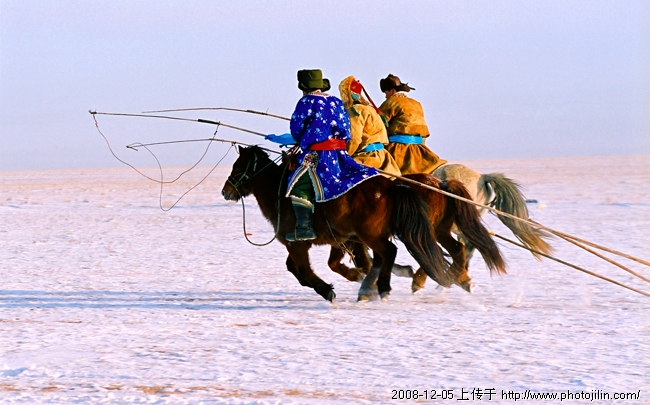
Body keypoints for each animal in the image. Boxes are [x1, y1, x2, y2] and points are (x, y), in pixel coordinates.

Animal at [221, 145, 463, 302]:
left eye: (237, 167)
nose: (226, 191)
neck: (279, 195)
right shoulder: (335, 239)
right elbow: (302, 267)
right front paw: (353, 277)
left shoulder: (297, 243)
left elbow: (303, 268)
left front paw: (327, 290)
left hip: (372, 234)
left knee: (390, 251)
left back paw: (384, 287)